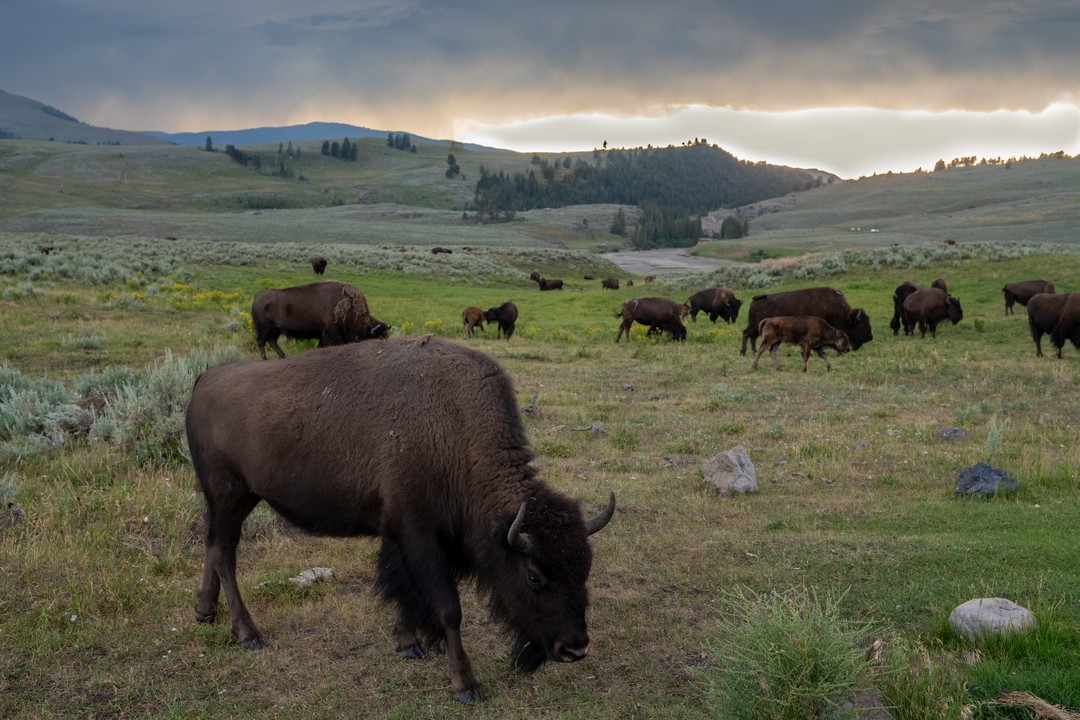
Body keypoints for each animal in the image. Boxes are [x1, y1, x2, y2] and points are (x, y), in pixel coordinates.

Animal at [186, 338, 615, 702]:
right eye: (533, 576)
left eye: (585, 568)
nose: (575, 647)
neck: (455, 428)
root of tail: (204, 380)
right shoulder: (419, 535)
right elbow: (448, 608)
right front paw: (466, 685)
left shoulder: (398, 535)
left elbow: (402, 590)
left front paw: (409, 645)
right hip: (230, 495)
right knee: (224, 554)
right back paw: (249, 635)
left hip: (227, 500)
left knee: (211, 545)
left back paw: (204, 612)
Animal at [251, 281, 388, 360]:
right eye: (377, 338)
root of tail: (257, 295)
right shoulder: (332, 332)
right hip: (264, 329)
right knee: (261, 342)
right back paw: (264, 359)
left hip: (275, 329)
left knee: (272, 341)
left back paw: (283, 356)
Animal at [740, 287, 872, 355]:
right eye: (863, 325)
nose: (870, 337)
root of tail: (754, 301)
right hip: (755, 326)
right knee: (746, 334)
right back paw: (743, 352)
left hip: (758, 328)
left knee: (752, 337)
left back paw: (754, 351)